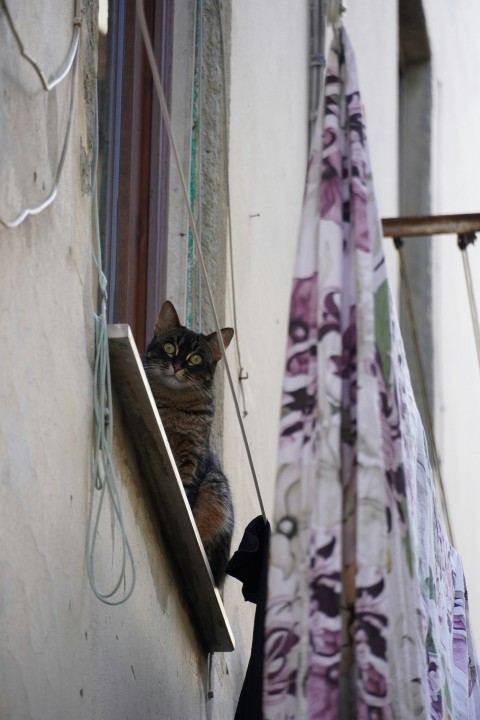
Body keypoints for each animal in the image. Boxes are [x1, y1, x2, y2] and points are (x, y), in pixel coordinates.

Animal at [145, 298, 235, 584]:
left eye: (195, 358)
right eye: (169, 347)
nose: (177, 366)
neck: (175, 406)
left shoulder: (192, 456)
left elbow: (187, 491)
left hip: (216, 483)